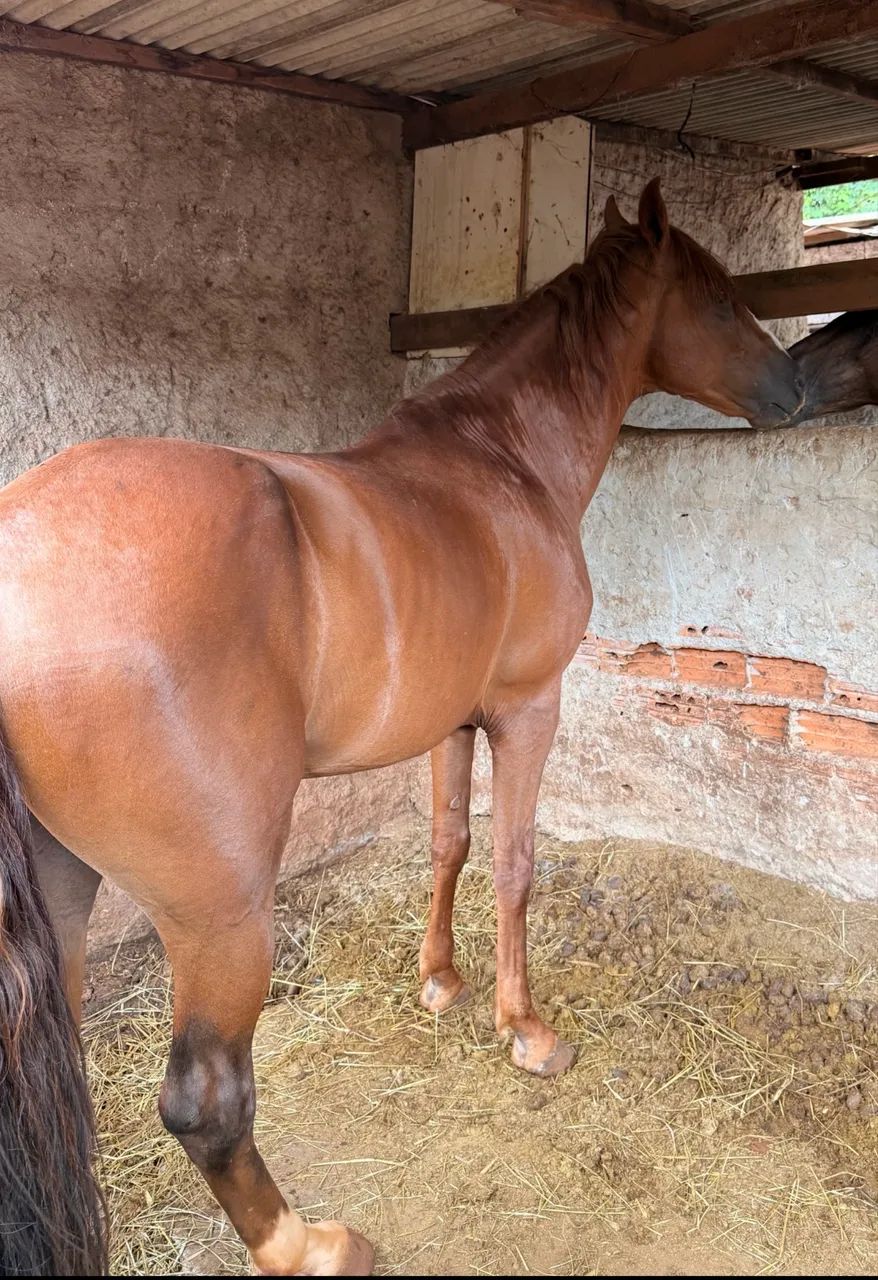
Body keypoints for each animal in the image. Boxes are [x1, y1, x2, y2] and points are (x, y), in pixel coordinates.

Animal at [0, 179, 803, 1277]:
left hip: (66, 891)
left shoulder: (452, 720)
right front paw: (524, 1029)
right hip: (219, 917)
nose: (793, 392)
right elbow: (511, 860)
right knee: (207, 1101)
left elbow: (447, 841)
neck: (502, 461)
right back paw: (311, 1244)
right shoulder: (527, 707)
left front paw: (439, 979)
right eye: (719, 299)